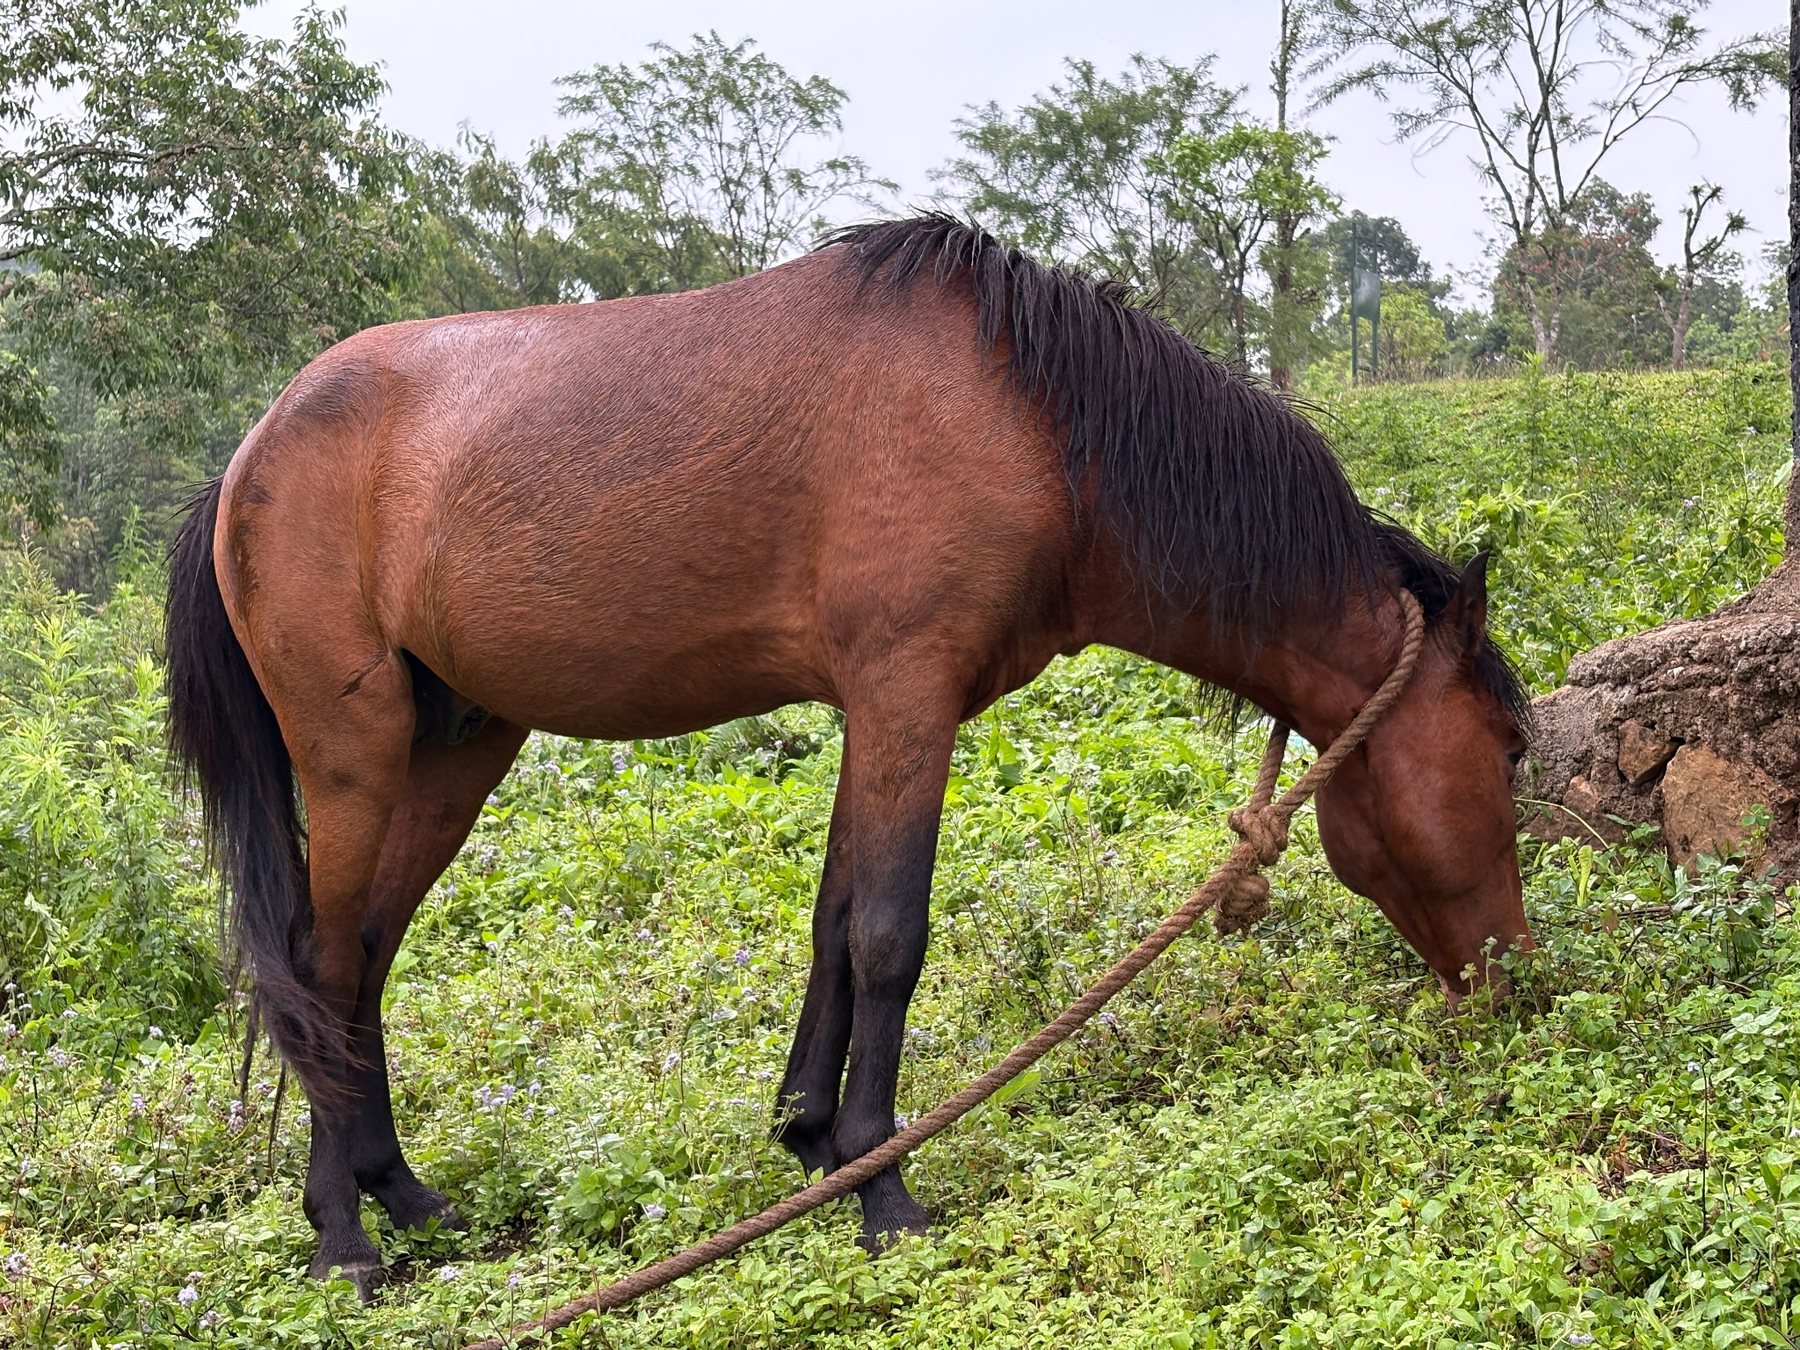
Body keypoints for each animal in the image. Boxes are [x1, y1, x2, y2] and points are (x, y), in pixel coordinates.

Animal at [164, 214, 1533, 1297]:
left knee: (364, 959)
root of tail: (248, 452)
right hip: (353, 749)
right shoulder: (905, 696)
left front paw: (817, 1144)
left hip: (457, 746)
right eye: (1513, 747)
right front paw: (884, 1189)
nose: (1520, 973)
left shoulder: (868, 712)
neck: (1038, 426)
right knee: (317, 963)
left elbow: (832, 925)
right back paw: (342, 1235)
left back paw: (402, 1195)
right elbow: (887, 936)